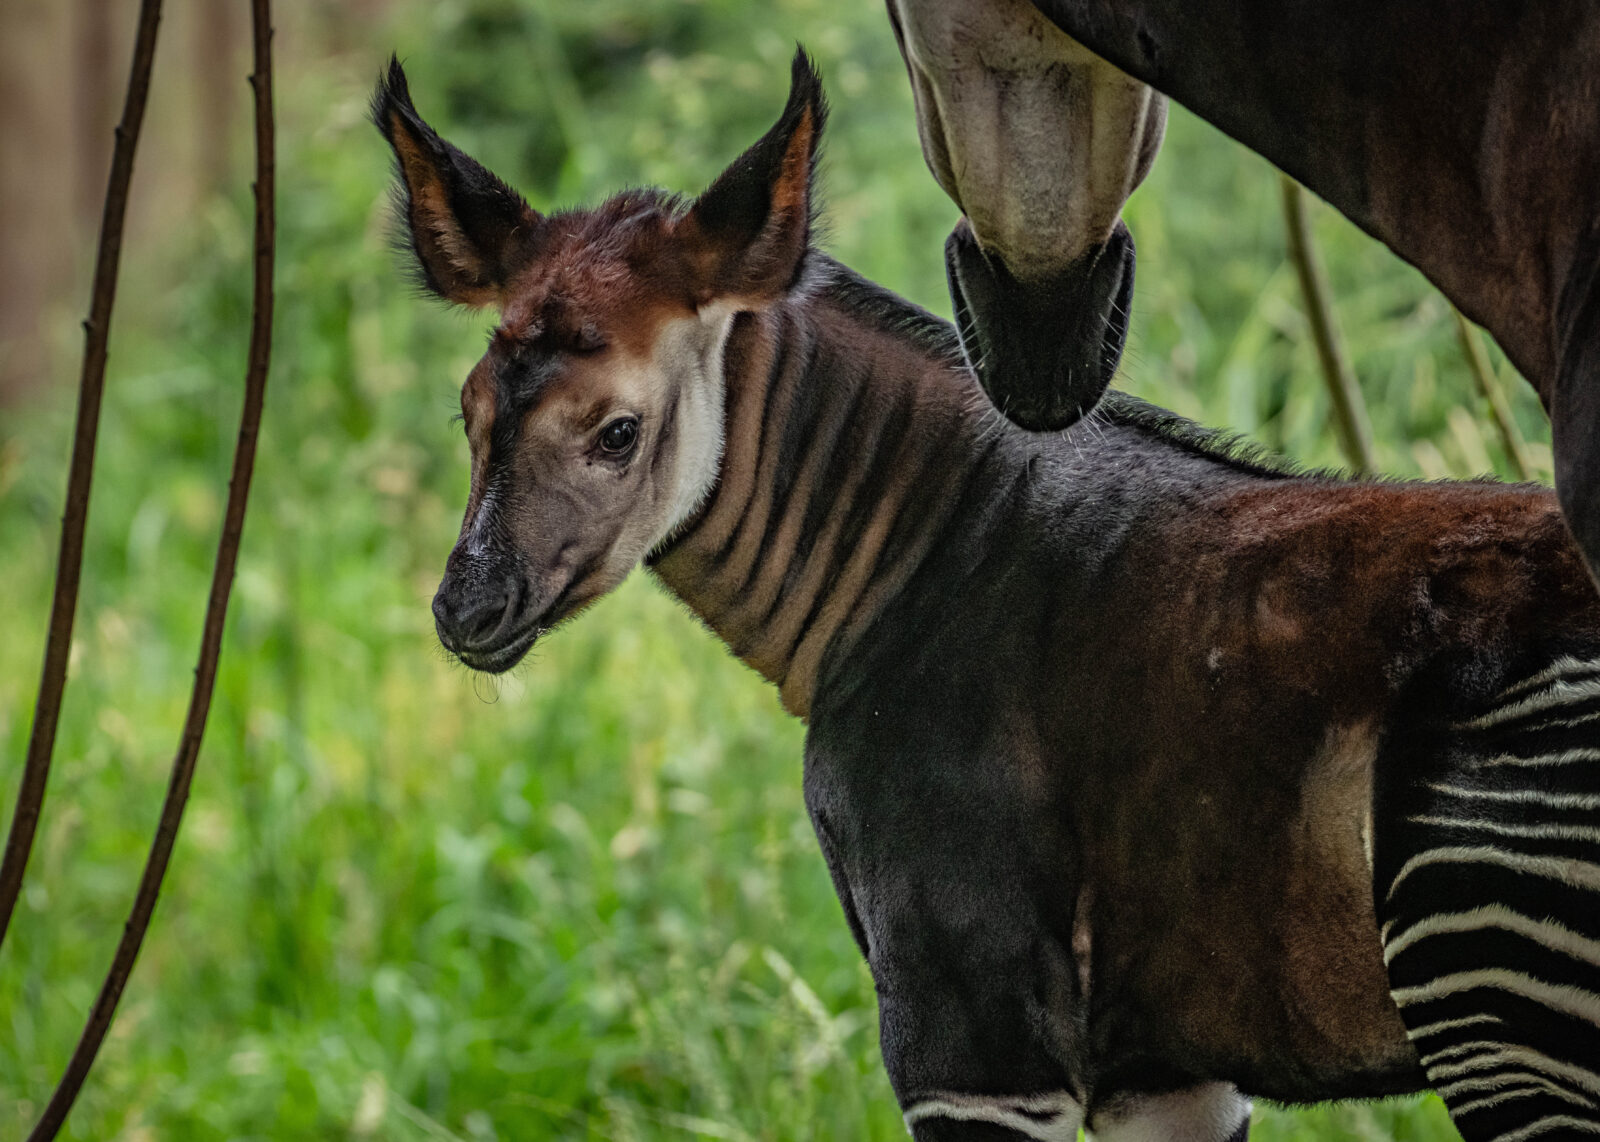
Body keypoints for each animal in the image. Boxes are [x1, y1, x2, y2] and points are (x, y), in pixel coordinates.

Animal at [377, 48, 1600, 1132]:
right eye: (469, 411)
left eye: (617, 431)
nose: (466, 610)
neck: (912, 561)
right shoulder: (1162, 1069)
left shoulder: (969, 1037)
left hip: (1500, 1011)